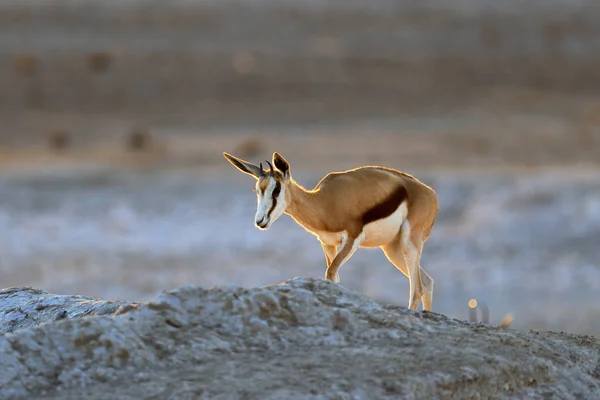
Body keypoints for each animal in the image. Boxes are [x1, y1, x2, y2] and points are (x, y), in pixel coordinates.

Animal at [223, 152, 438, 310]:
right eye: (258, 190)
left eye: (276, 190)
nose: (260, 221)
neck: (325, 203)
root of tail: (430, 193)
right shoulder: (327, 244)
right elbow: (334, 278)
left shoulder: (352, 239)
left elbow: (330, 272)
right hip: (392, 249)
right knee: (427, 282)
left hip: (409, 243)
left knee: (417, 288)